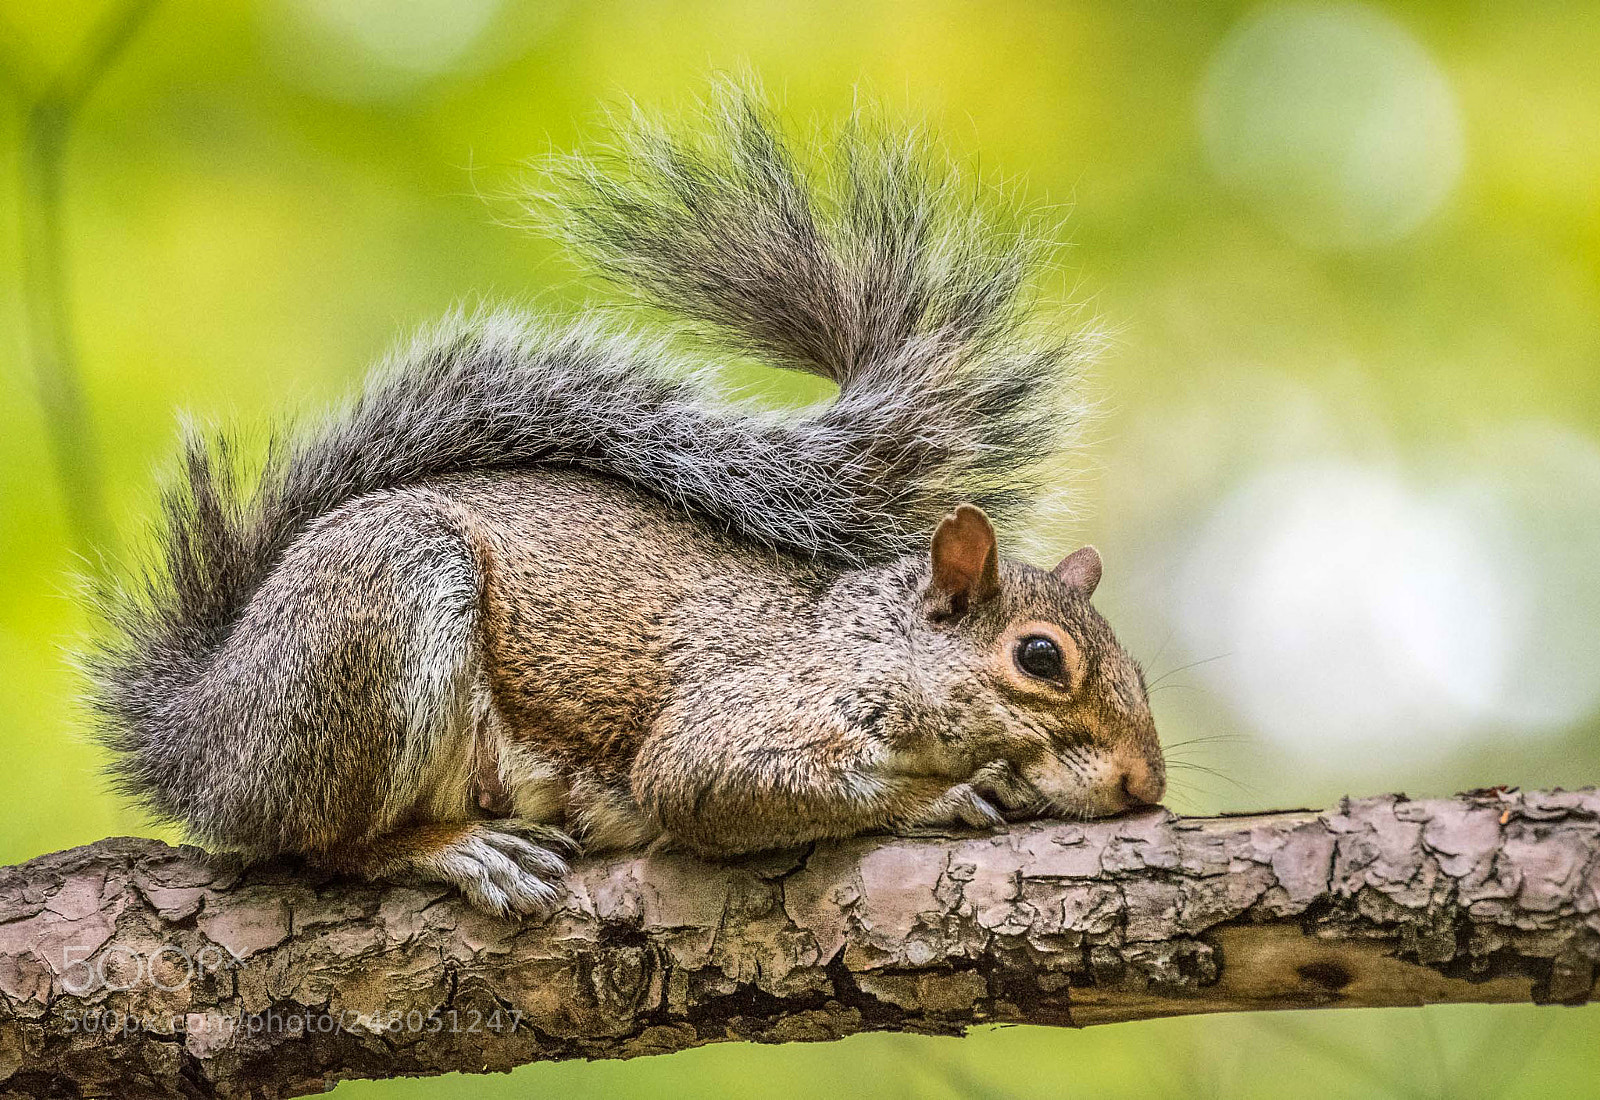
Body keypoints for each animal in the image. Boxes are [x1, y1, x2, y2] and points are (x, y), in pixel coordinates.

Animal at [86, 86, 1165, 917]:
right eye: (1039, 658)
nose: (1145, 783)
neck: (869, 639)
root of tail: (202, 727)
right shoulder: (742, 716)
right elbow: (702, 781)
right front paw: (942, 796)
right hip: (379, 613)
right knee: (317, 843)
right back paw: (453, 848)